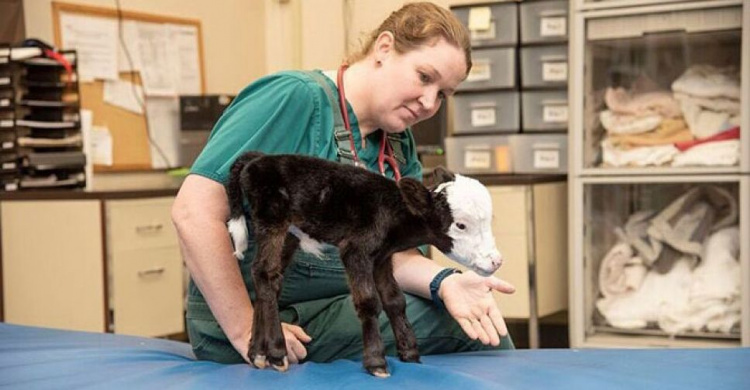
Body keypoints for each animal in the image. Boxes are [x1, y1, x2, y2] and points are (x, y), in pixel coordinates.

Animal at [225, 151, 506, 376]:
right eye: (460, 225)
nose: (496, 261)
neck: (392, 215)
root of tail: (258, 159)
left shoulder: (381, 257)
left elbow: (395, 301)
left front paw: (410, 354)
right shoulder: (356, 250)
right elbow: (369, 301)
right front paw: (376, 362)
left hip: (290, 233)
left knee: (265, 279)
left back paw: (257, 353)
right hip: (271, 216)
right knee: (266, 273)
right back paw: (275, 351)